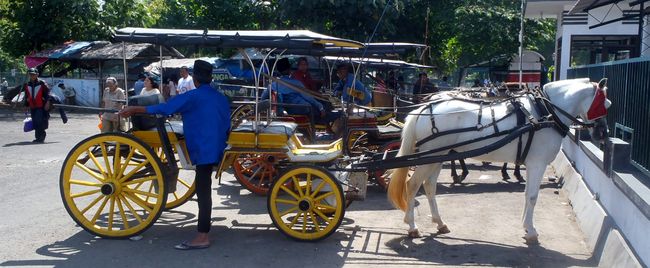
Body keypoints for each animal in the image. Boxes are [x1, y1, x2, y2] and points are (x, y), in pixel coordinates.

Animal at [384, 78, 608, 245]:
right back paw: (412, 226)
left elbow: (526, 195)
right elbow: (533, 197)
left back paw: (439, 222)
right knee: (413, 185)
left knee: (429, 186)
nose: (602, 134)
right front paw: (531, 231)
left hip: (437, 157)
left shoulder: (532, 164)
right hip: (428, 158)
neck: (545, 111)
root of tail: (424, 108)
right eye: (604, 104)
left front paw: (525, 227)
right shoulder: (537, 164)